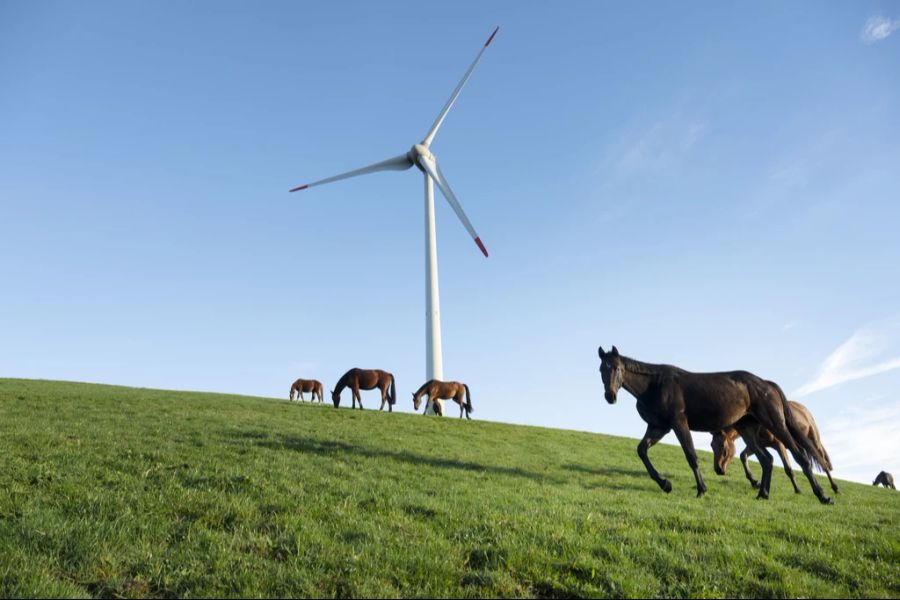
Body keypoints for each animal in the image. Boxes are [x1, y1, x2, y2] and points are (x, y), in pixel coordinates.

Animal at [712, 396, 840, 494]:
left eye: (723, 448)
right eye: (712, 446)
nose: (718, 469)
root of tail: (803, 408)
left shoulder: (779, 445)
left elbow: (788, 469)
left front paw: (797, 489)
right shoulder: (758, 445)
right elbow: (743, 456)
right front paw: (754, 482)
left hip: (813, 440)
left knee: (822, 461)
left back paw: (835, 488)